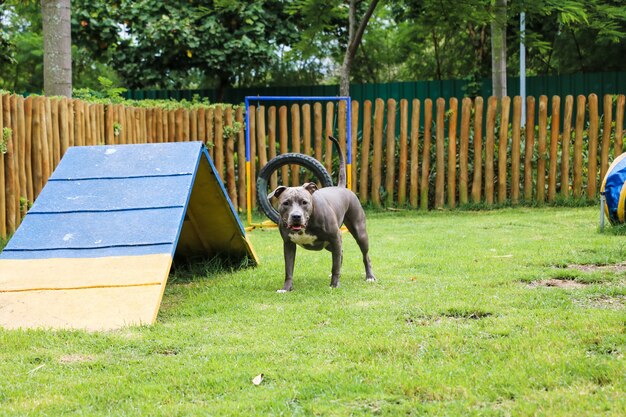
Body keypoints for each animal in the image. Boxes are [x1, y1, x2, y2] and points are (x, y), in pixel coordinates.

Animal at [266, 135, 372, 290]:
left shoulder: (335, 237)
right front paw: (286, 288)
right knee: (340, 254)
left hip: (359, 233)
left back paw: (370, 277)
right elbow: (288, 269)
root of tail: (341, 187)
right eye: (286, 203)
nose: (296, 216)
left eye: (304, 202)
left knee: (365, 256)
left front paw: (334, 284)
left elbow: (335, 266)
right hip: (328, 245)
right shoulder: (288, 245)